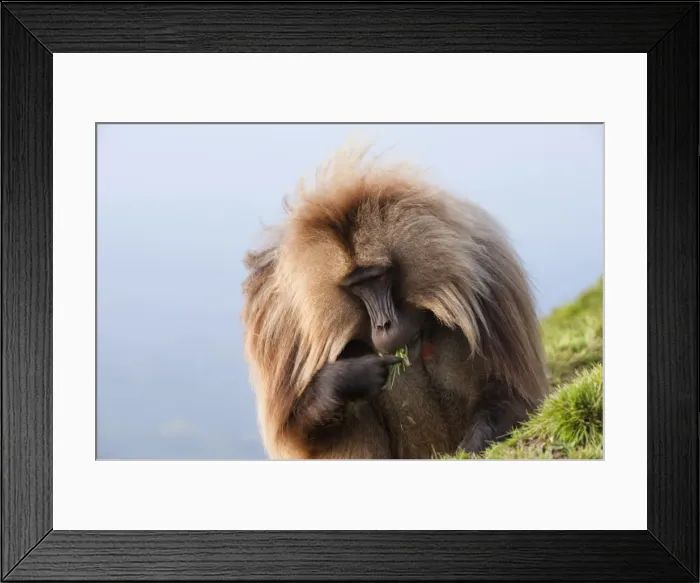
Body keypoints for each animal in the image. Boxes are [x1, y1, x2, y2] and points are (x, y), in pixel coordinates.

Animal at [240, 146, 551, 460]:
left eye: (378, 277)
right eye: (357, 286)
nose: (385, 325)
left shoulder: (491, 274)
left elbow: (512, 395)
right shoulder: (281, 323)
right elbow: (294, 431)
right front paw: (347, 378)